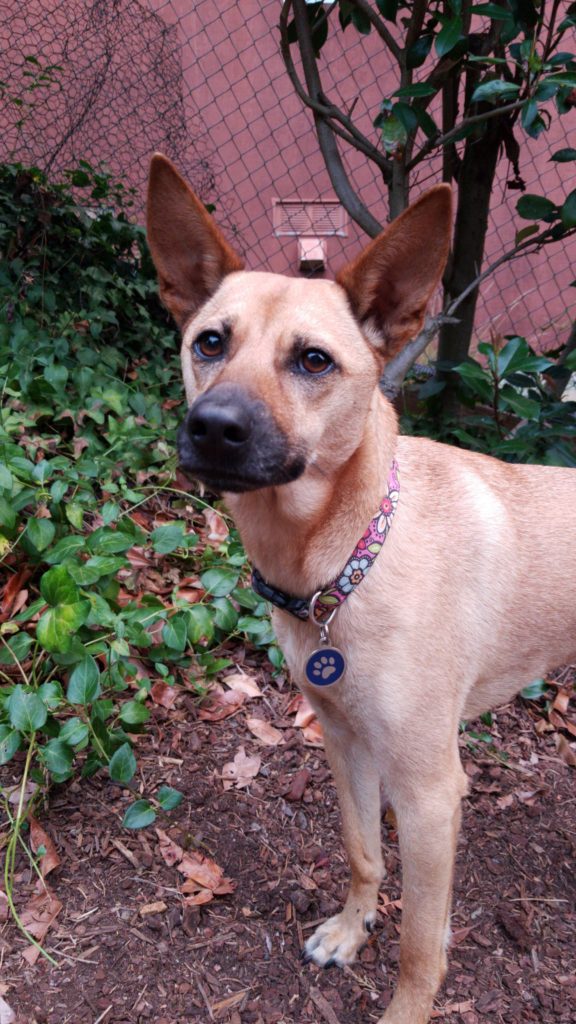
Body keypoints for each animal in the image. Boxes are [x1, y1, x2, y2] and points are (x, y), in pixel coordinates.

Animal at [144, 153, 573, 1024]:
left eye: (314, 360)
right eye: (210, 342)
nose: (212, 428)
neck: (345, 560)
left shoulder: (433, 792)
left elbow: (421, 946)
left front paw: (404, 1005)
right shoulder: (345, 740)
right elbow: (360, 851)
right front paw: (351, 929)